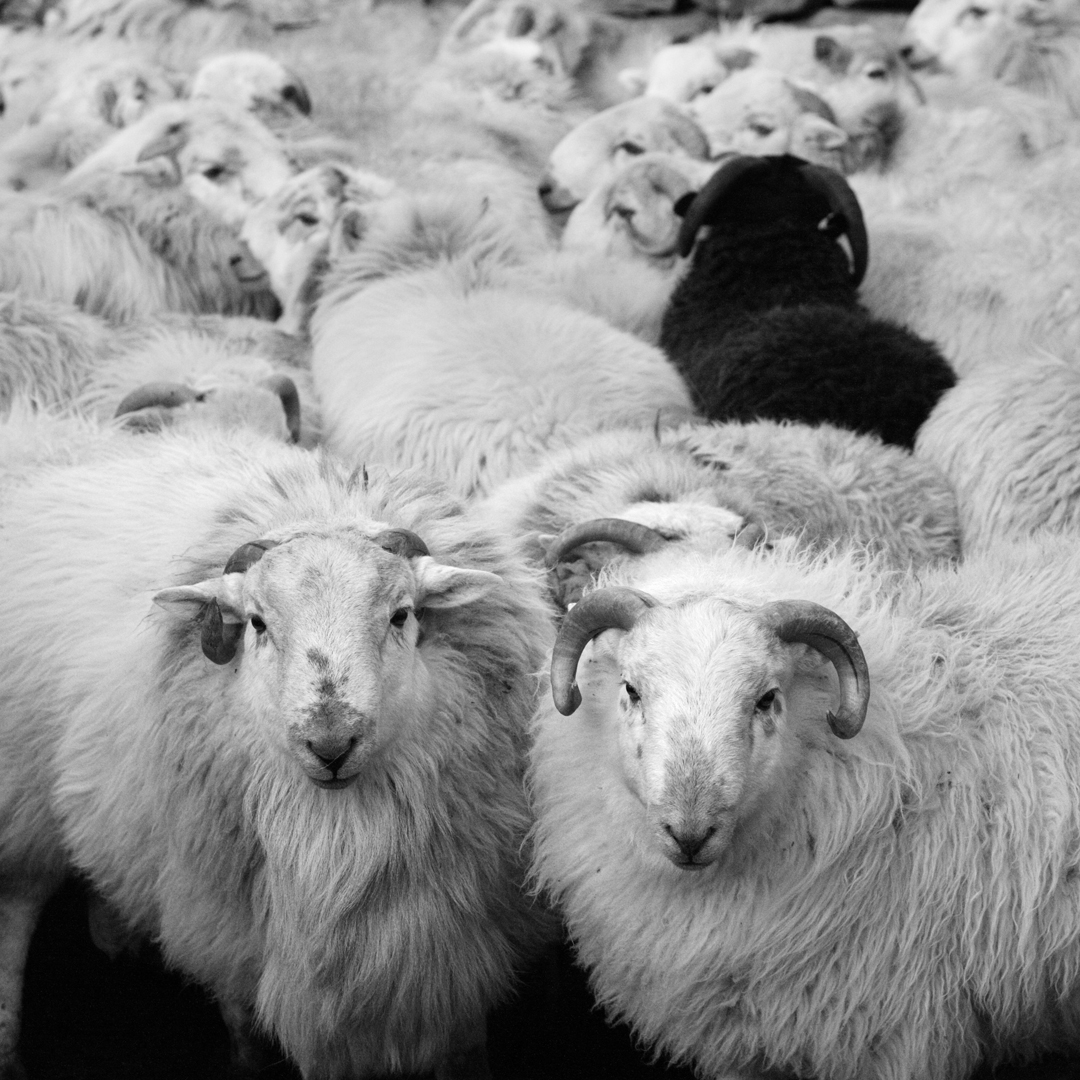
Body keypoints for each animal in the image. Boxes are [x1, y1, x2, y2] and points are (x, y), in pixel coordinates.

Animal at [0, 425, 555, 1080]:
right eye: (258, 624)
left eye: (402, 616)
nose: (331, 745)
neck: (336, 847)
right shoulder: (229, 939)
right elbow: (246, 1031)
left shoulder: (454, 960)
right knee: (16, 913)